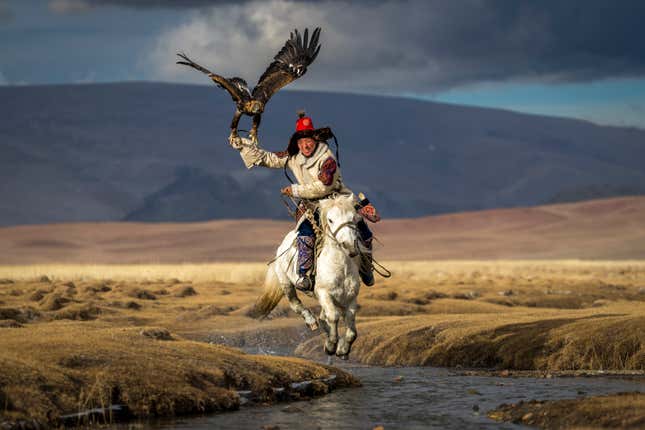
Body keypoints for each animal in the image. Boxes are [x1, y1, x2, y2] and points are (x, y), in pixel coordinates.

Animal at [250, 194, 362, 360]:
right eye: (330, 220)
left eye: (354, 218)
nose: (349, 246)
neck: (340, 267)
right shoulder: (324, 294)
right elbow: (333, 317)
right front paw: (331, 346)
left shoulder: (351, 298)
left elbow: (351, 328)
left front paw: (342, 350)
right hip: (286, 283)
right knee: (296, 304)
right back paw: (311, 321)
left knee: (323, 317)